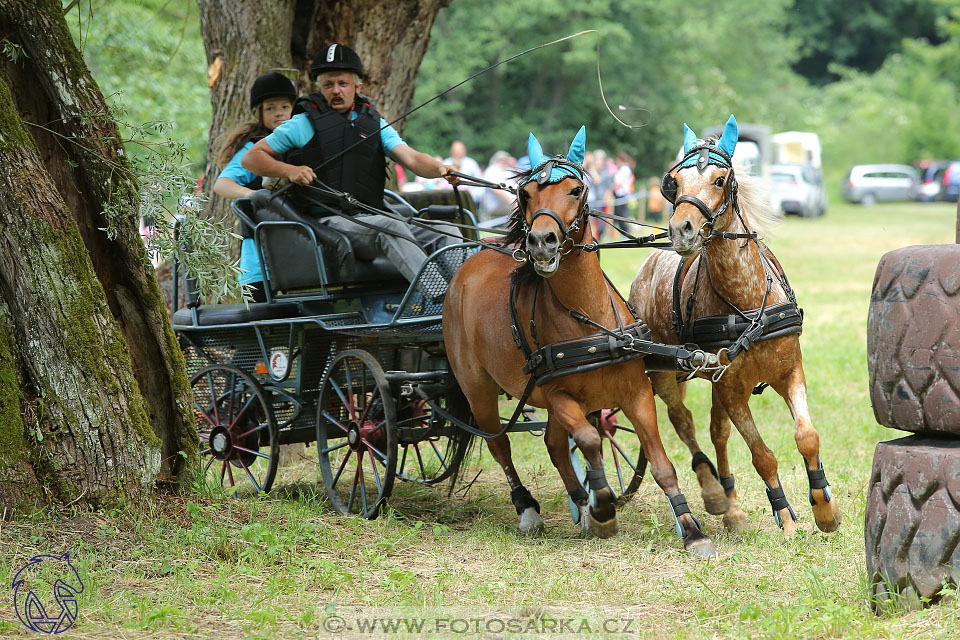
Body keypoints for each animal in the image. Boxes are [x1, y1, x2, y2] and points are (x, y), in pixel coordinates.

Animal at [442, 126, 712, 556]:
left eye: (575, 190)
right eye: (526, 193)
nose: (541, 241)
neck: (590, 325)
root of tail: (471, 263)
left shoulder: (637, 394)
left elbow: (661, 464)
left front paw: (691, 529)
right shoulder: (556, 396)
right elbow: (588, 439)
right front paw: (602, 508)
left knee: (554, 445)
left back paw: (580, 504)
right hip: (478, 388)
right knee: (502, 447)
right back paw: (531, 510)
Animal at [632, 116, 840, 536]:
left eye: (719, 179)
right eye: (674, 182)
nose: (681, 230)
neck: (746, 306)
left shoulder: (789, 371)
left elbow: (807, 437)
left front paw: (824, 507)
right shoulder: (732, 389)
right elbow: (762, 455)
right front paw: (786, 517)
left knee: (718, 432)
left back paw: (732, 507)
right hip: (662, 373)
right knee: (683, 422)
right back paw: (713, 491)